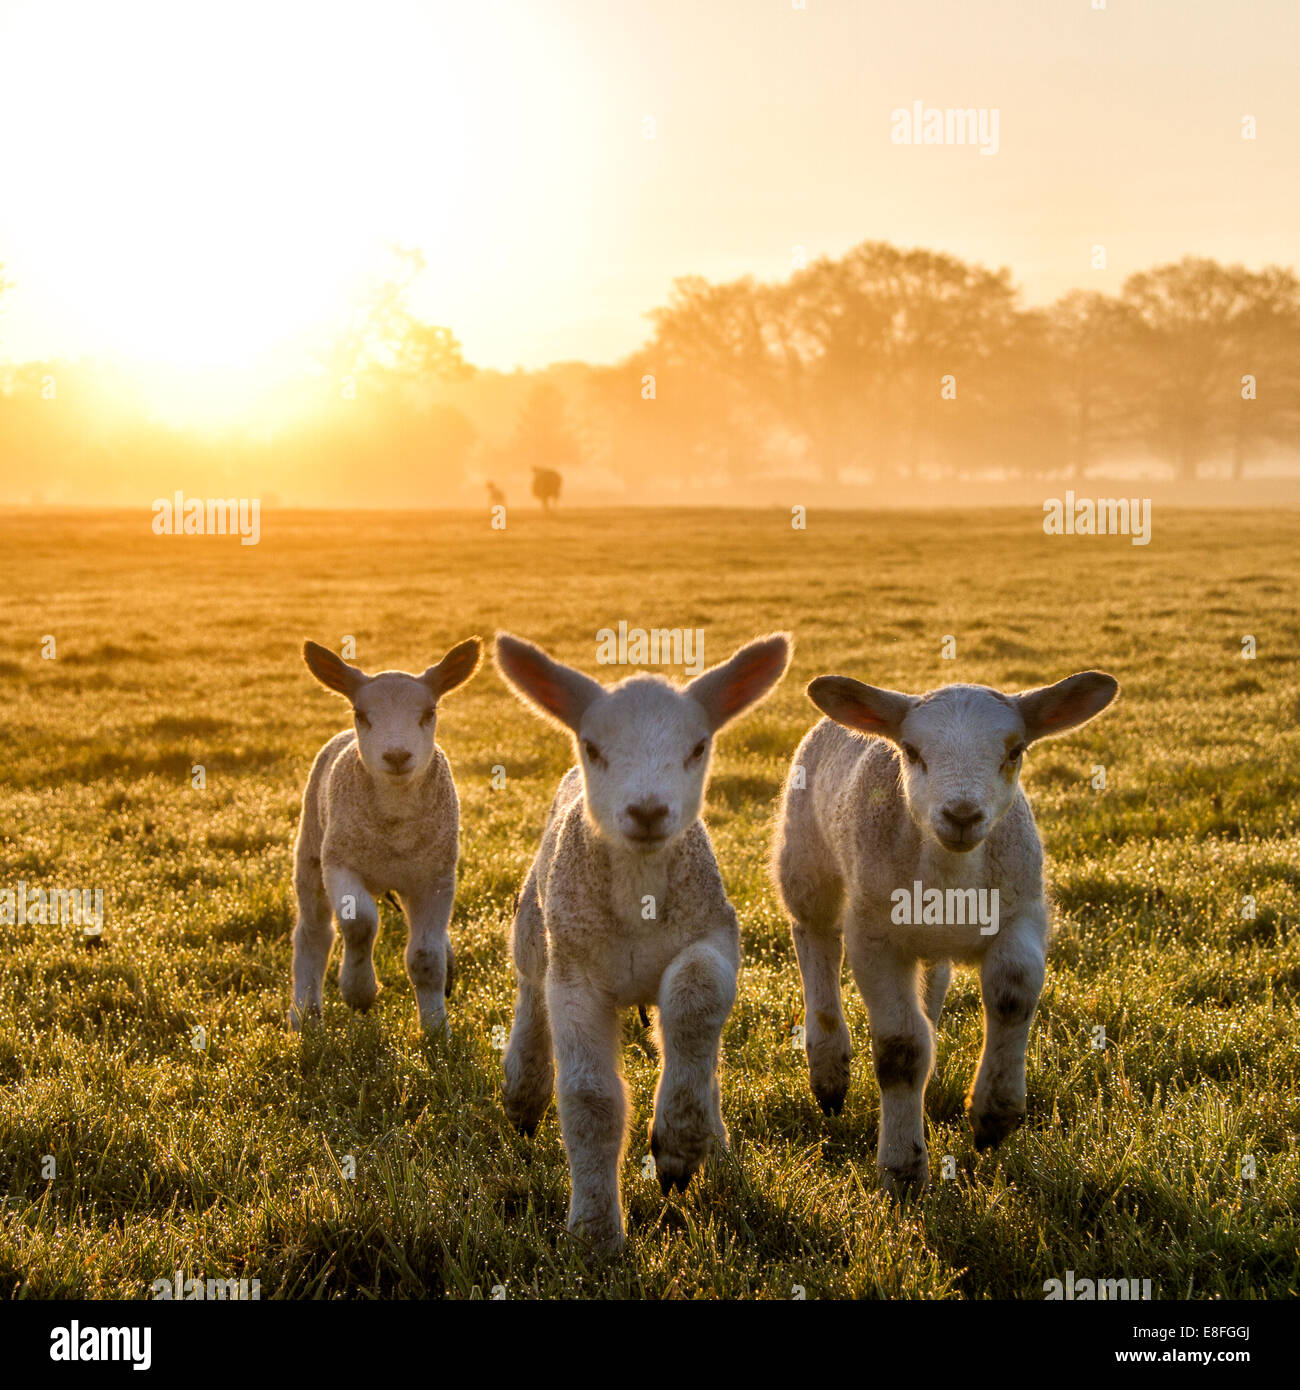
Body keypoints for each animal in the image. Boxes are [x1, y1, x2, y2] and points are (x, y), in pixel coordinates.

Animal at [289, 636, 483, 1039]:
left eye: (429, 712)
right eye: (361, 713)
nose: (396, 756)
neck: (394, 829)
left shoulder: (436, 877)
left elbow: (425, 957)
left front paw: (437, 1030)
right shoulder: (339, 863)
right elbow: (359, 923)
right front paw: (358, 991)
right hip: (311, 850)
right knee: (313, 934)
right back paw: (304, 1015)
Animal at [492, 631, 789, 1251]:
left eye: (699, 746)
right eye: (593, 745)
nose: (648, 811)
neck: (639, 901)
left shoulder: (716, 933)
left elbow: (696, 1000)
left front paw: (678, 1144)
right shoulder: (575, 972)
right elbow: (590, 1101)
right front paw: (594, 1235)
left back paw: (713, 1144)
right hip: (535, 920)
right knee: (529, 991)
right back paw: (523, 1093)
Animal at [773, 667, 1117, 1189]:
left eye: (1015, 751)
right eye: (912, 751)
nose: (961, 815)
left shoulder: (1022, 913)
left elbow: (1013, 995)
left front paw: (994, 1114)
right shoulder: (874, 935)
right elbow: (900, 1050)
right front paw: (902, 1170)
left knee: (931, 981)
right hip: (805, 862)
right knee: (816, 942)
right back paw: (829, 1069)